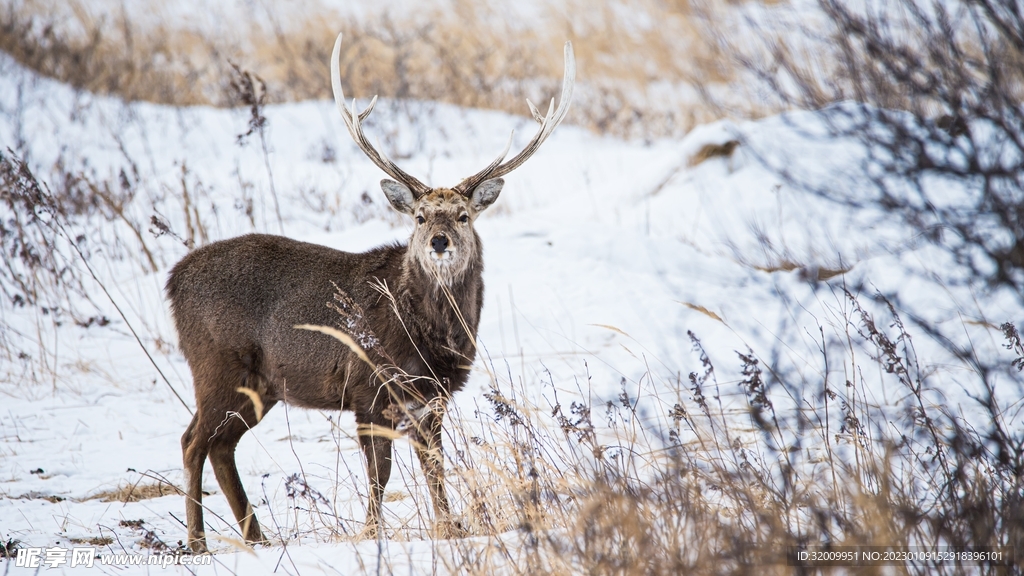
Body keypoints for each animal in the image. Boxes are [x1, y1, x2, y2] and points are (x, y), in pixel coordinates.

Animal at [166, 33, 574, 553]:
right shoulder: (368, 388)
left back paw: (256, 537)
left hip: (260, 386)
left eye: (463, 215)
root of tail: (173, 280)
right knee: (193, 440)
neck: (426, 334)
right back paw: (198, 541)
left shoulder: (431, 398)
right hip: (216, 363)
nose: (439, 241)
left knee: (220, 444)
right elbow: (380, 474)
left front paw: (448, 528)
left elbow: (435, 470)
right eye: (419, 216)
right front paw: (371, 534)